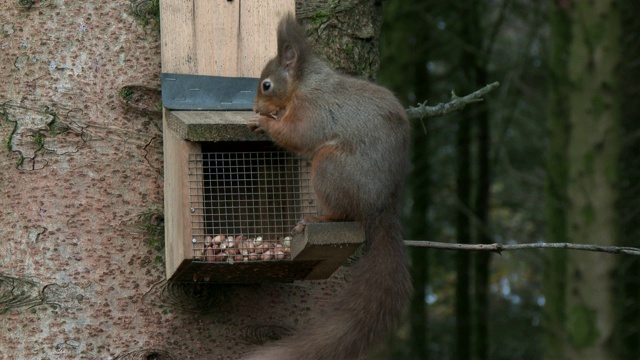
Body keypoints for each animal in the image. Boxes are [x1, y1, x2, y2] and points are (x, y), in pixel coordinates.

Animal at [245, 14, 410, 360]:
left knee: (344, 214)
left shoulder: (313, 108)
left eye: (266, 84)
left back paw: (316, 218)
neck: (304, 82)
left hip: (328, 167)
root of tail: (381, 207)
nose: (255, 109)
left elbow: (298, 135)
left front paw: (265, 124)